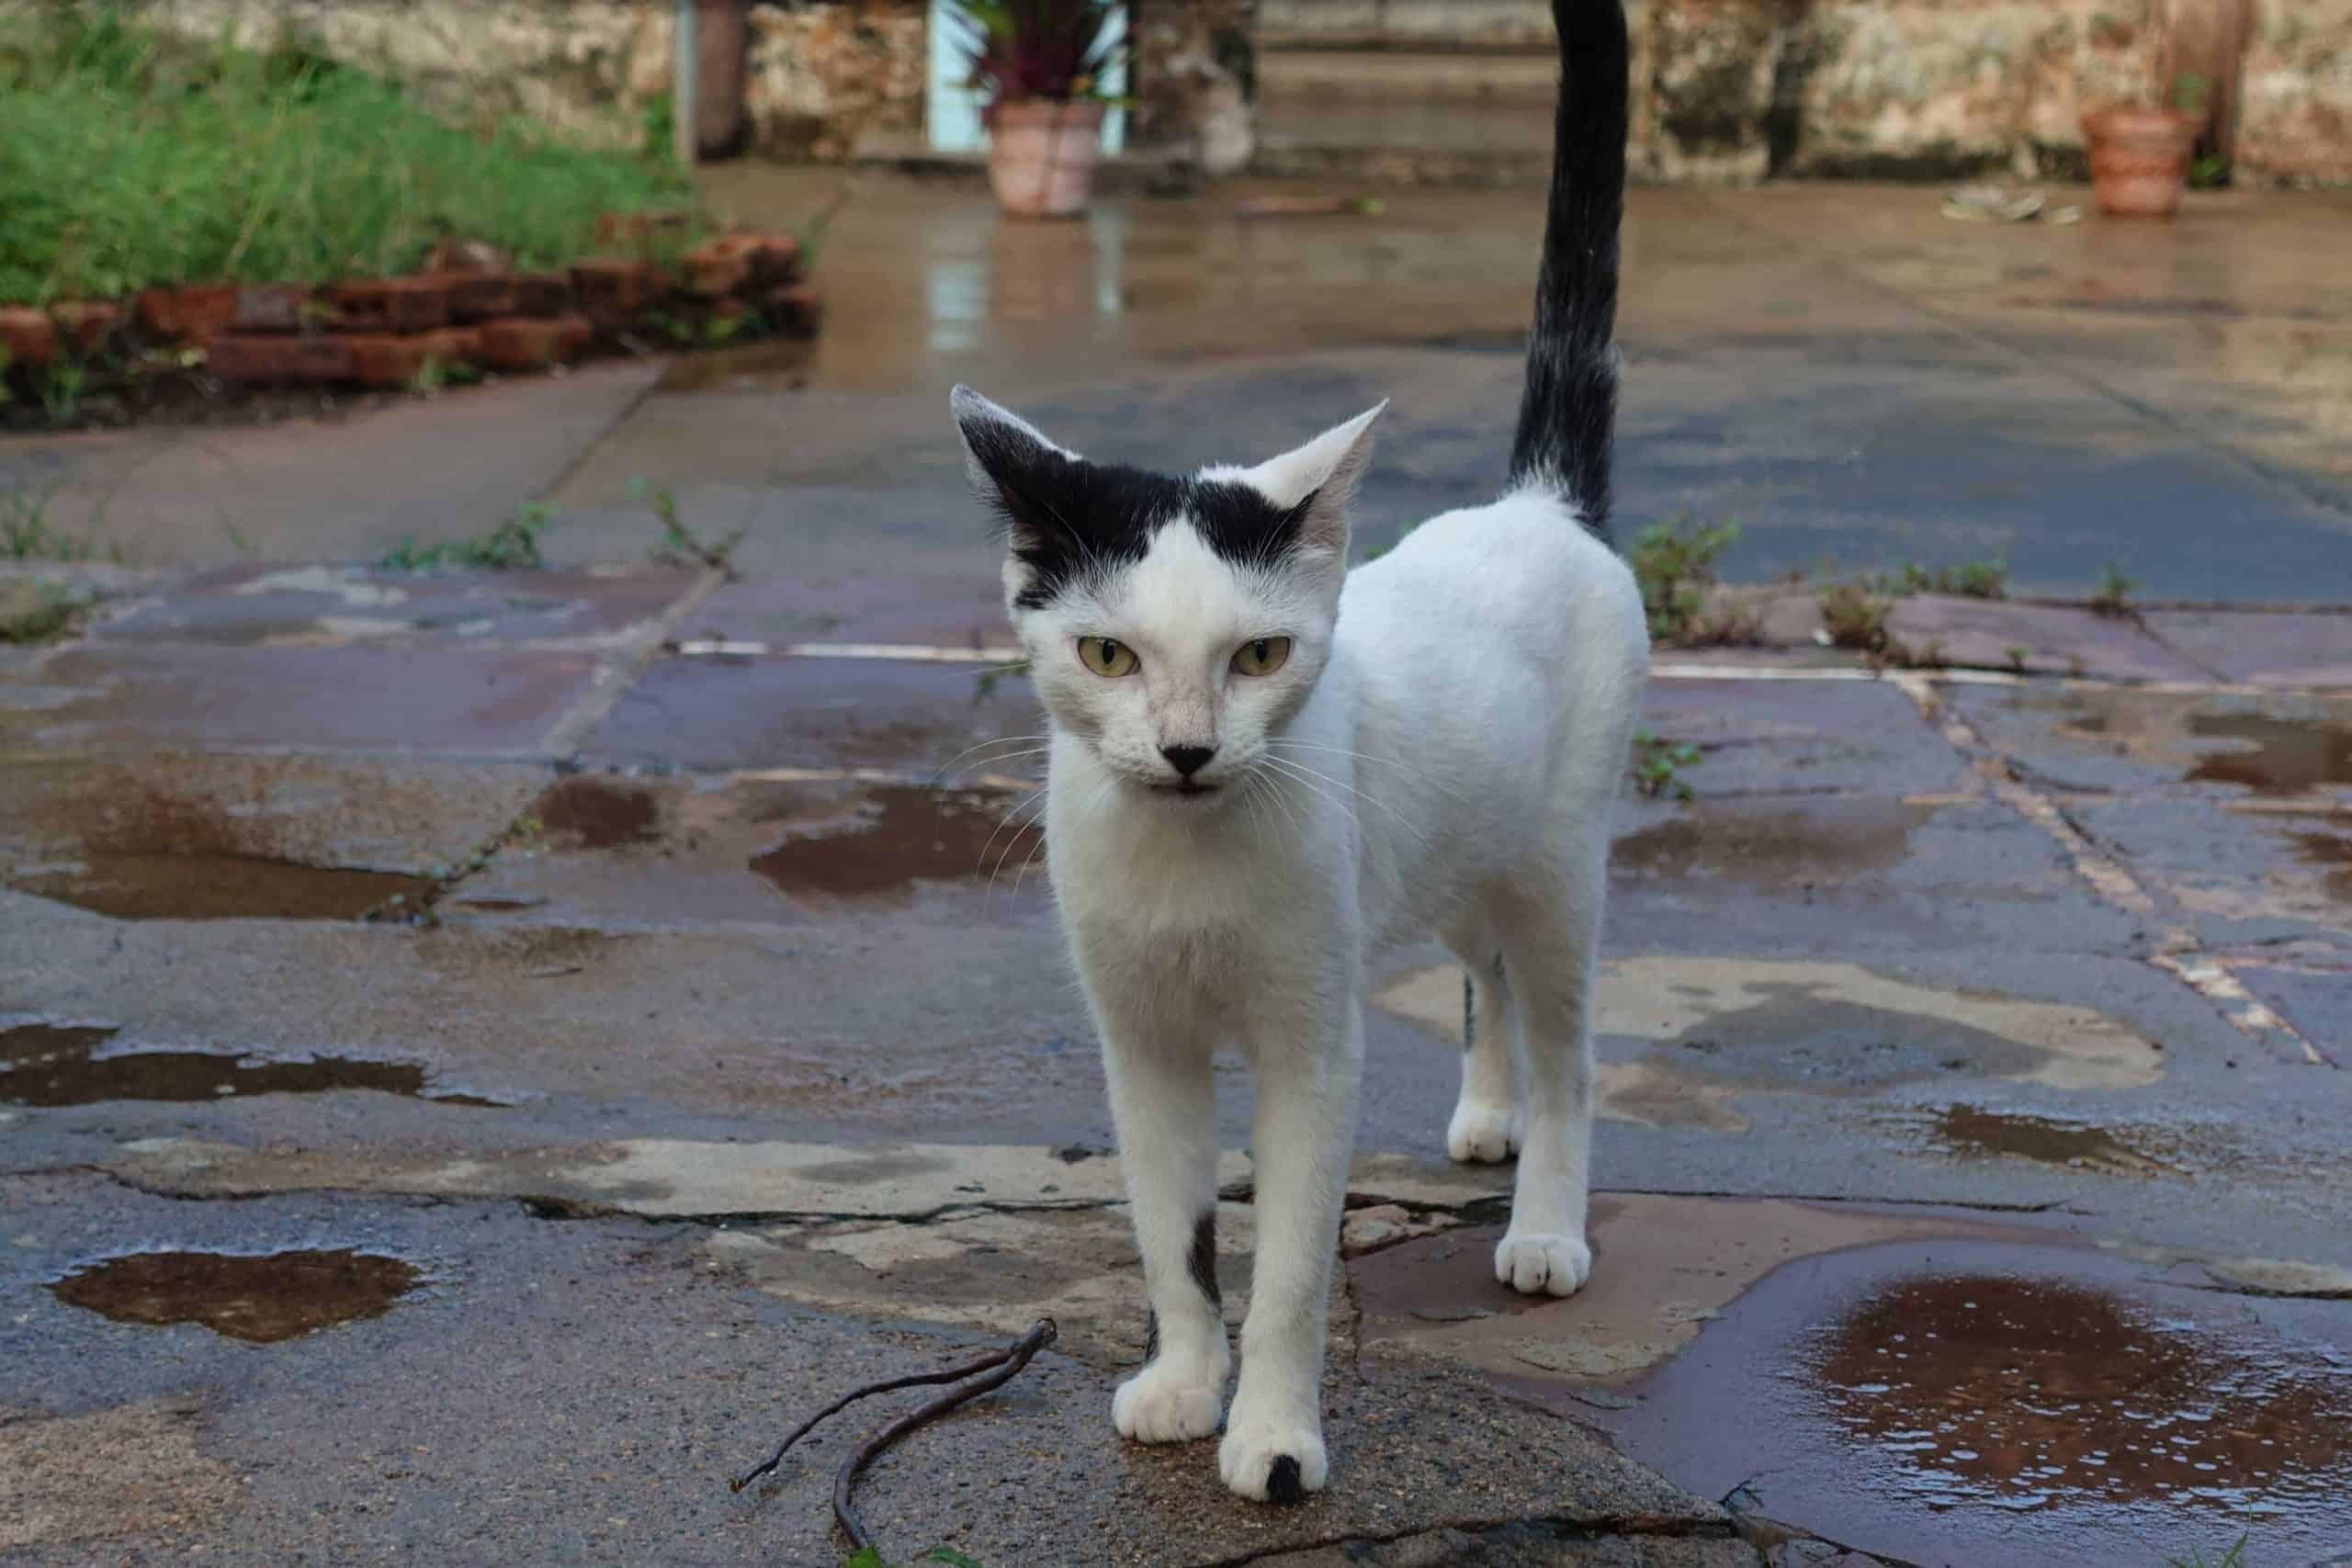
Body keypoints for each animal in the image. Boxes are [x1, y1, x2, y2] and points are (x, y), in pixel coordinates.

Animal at [945, 0, 1646, 1504]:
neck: (1185, 856)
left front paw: (1270, 1437)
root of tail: (1538, 508)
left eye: (1259, 657)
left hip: (1560, 863)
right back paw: (1489, 1112)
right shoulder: (1139, 1039)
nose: (1188, 749)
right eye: (1109, 656)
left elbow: (1286, 1272)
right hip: (1452, 857)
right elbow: (1173, 1233)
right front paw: (1179, 1381)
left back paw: (1545, 1219)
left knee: (1566, 1037)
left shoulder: (1309, 1043)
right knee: (1487, 975)